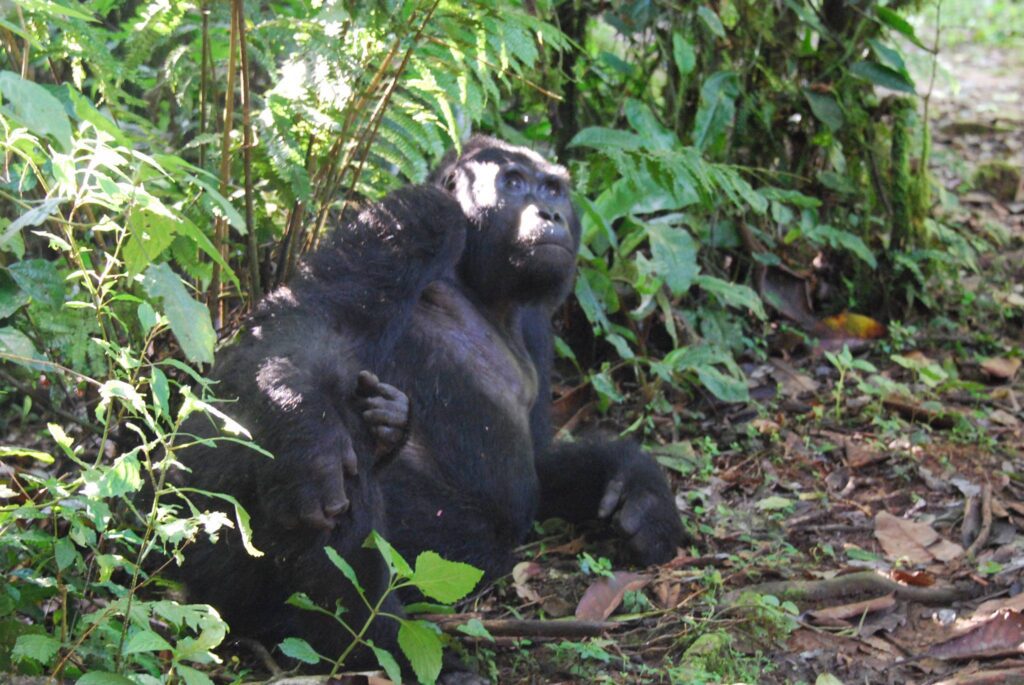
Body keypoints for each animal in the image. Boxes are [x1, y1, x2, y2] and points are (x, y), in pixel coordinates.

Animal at [172, 136, 688, 671]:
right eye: (513, 182)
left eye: (553, 189)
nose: (550, 213)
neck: (478, 286)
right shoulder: (427, 214)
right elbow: (304, 320)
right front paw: (306, 440)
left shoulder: (537, 322)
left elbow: (543, 461)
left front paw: (639, 487)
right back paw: (373, 641)